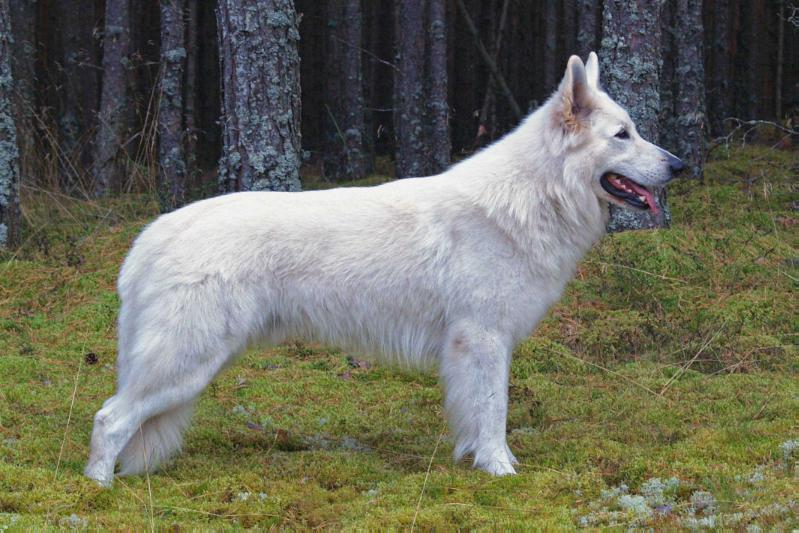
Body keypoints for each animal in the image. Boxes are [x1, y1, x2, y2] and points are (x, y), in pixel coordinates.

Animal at [89, 52, 688, 484]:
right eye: (623, 135)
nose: (679, 166)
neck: (533, 196)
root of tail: (156, 233)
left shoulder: (473, 348)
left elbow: (476, 412)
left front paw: (476, 458)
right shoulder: (483, 339)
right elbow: (494, 409)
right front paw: (500, 469)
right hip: (185, 360)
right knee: (109, 418)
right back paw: (99, 488)